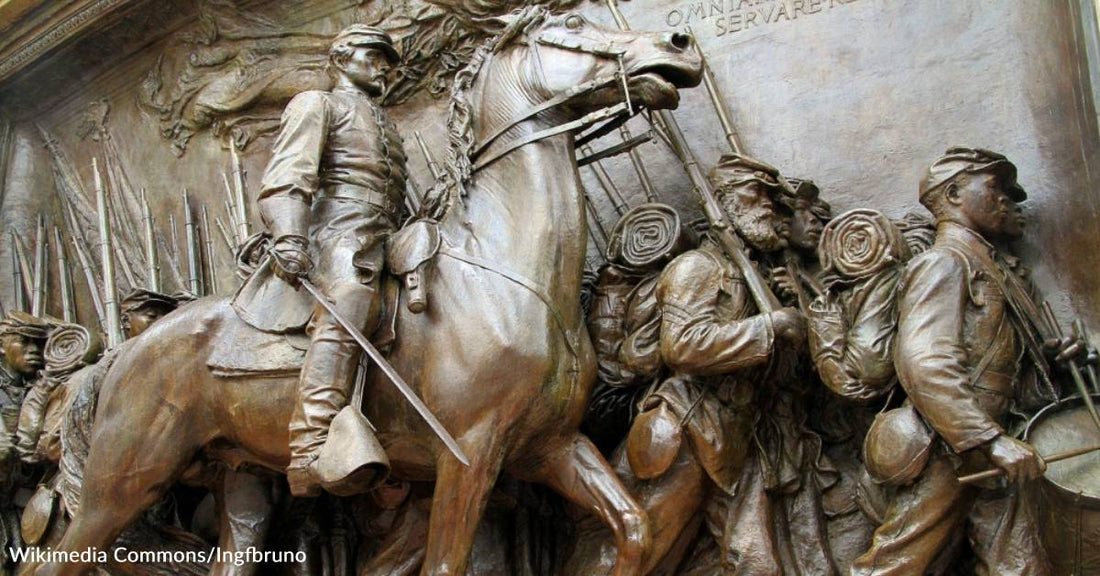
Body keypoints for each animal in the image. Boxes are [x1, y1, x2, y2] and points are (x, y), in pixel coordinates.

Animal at [36, 9, 704, 576]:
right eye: (571, 25)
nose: (679, 44)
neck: (500, 270)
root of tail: (125, 350)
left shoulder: (553, 446)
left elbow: (633, 528)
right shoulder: (469, 457)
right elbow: (445, 564)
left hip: (243, 474)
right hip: (124, 481)